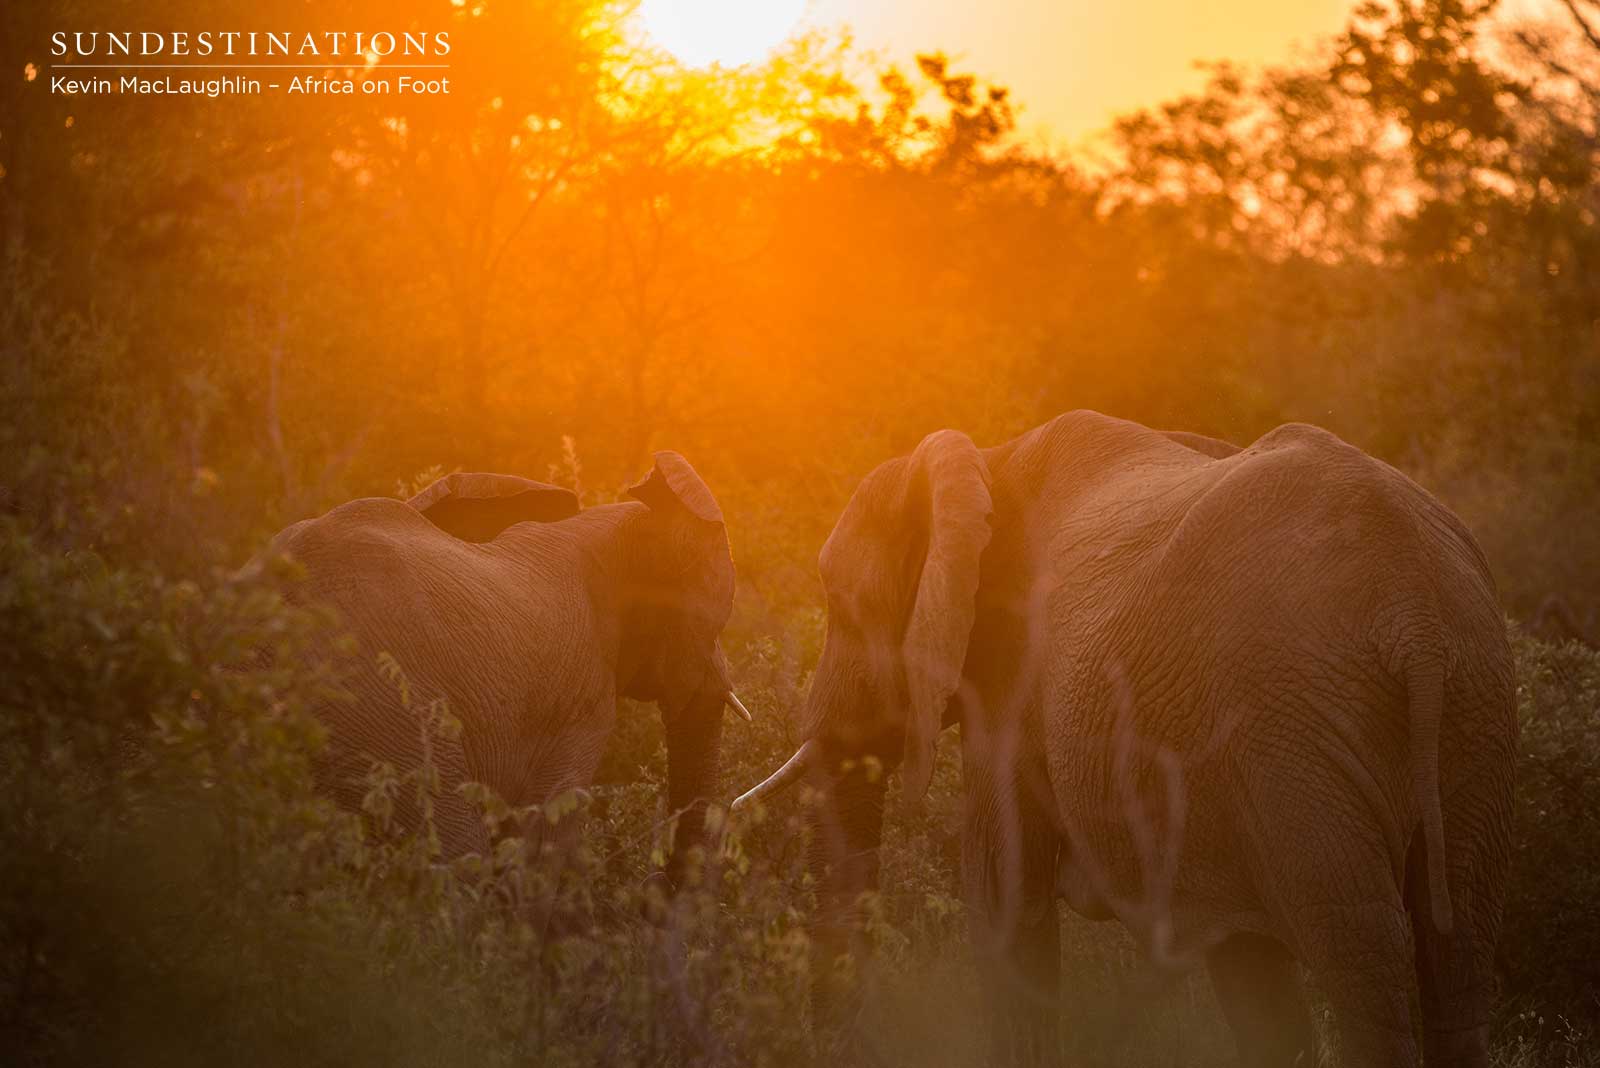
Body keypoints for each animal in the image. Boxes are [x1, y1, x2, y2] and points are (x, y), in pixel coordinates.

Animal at [736, 411, 1516, 1068]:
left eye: (841, 607)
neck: (984, 463)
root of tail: (1415, 613)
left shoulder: (1016, 678)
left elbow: (1003, 900)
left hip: (1298, 733)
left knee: (1361, 949)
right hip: (1470, 709)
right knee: (1457, 947)